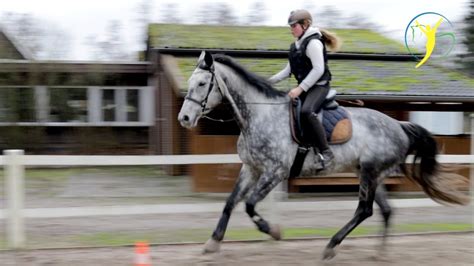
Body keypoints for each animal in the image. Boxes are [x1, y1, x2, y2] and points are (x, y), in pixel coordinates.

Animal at [177, 51, 466, 258]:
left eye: (202, 83)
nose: (185, 118)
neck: (259, 115)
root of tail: (399, 125)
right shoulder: (251, 168)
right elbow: (230, 202)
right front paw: (213, 242)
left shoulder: (275, 171)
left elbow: (249, 205)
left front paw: (274, 231)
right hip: (372, 173)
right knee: (384, 210)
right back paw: (379, 253)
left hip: (370, 173)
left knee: (364, 210)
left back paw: (331, 246)